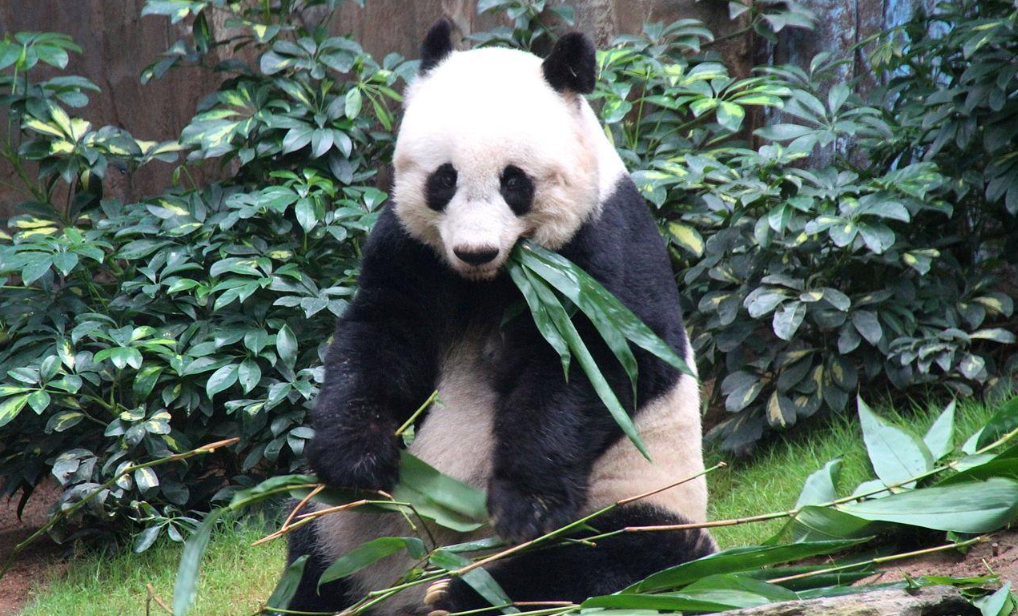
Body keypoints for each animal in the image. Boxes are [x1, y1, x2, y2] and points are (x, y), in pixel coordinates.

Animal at [285, 19, 716, 614]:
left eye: (515, 181)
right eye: (443, 179)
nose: (475, 250)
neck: (493, 281)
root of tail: (403, 583)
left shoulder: (603, 247)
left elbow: (601, 365)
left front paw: (524, 502)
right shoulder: (413, 249)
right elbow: (382, 333)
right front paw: (356, 455)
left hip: (639, 500)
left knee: (604, 561)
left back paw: (461, 595)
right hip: (351, 526)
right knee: (313, 550)